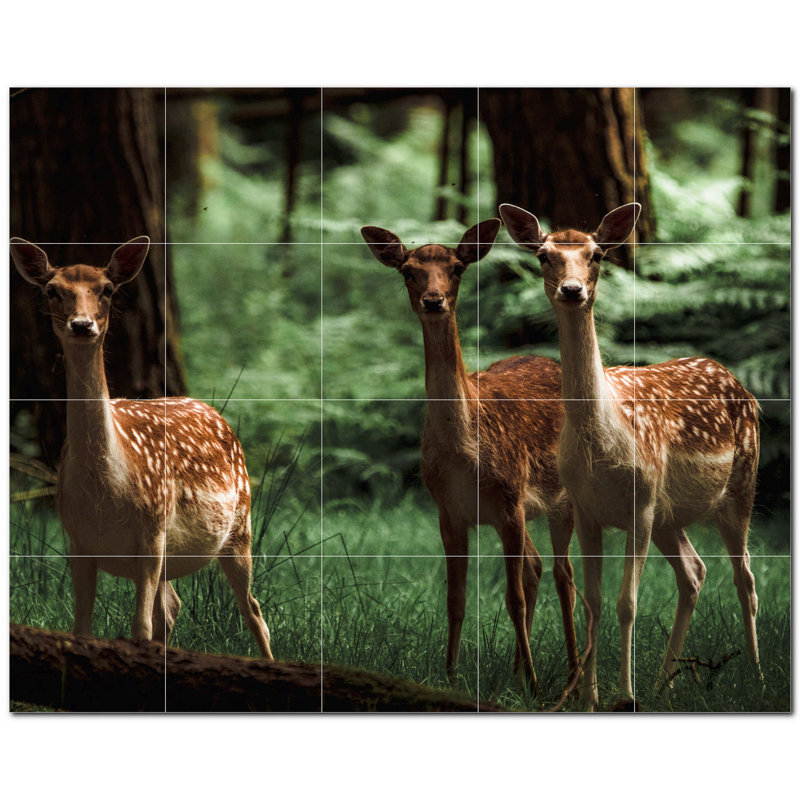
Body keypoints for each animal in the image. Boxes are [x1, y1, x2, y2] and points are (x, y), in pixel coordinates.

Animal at [10, 236, 273, 660]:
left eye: (107, 289)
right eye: (52, 290)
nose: (82, 325)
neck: (107, 488)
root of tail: (214, 412)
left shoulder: (152, 529)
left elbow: (140, 628)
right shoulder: (77, 541)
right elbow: (81, 628)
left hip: (240, 525)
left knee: (252, 610)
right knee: (174, 606)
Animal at [361, 221, 579, 696]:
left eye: (457, 267)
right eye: (407, 270)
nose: (433, 299)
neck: (464, 456)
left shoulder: (510, 501)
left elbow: (513, 599)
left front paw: (536, 684)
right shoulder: (450, 511)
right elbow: (455, 599)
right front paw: (450, 675)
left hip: (559, 498)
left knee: (563, 574)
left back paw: (569, 674)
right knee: (536, 566)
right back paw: (518, 671)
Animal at [499, 202, 760, 710]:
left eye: (597, 254)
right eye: (543, 255)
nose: (572, 289)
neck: (603, 443)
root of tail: (738, 383)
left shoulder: (640, 504)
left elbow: (627, 603)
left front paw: (624, 696)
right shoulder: (586, 509)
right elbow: (594, 602)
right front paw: (589, 699)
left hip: (739, 485)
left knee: (746, 578)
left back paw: (757, 675)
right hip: (669, 515)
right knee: (695, 572)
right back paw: (664, 682)